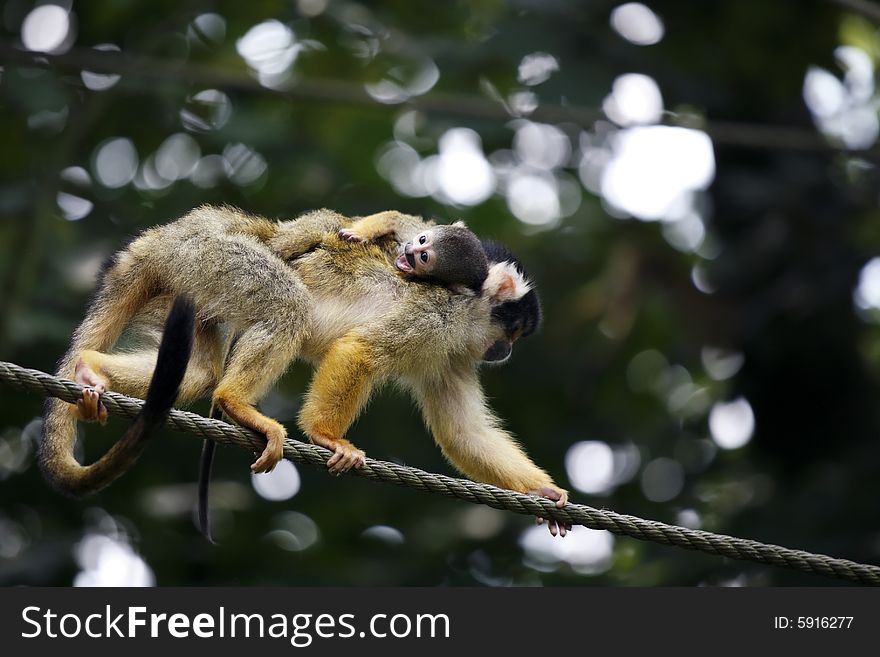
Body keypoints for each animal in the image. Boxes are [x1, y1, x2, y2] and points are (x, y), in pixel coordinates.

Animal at [338, 213, 488, 292]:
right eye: (422, 239)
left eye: (424, 256)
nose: (409, 249)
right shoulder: (415, 229)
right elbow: (394, 218)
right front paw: (358, 233)